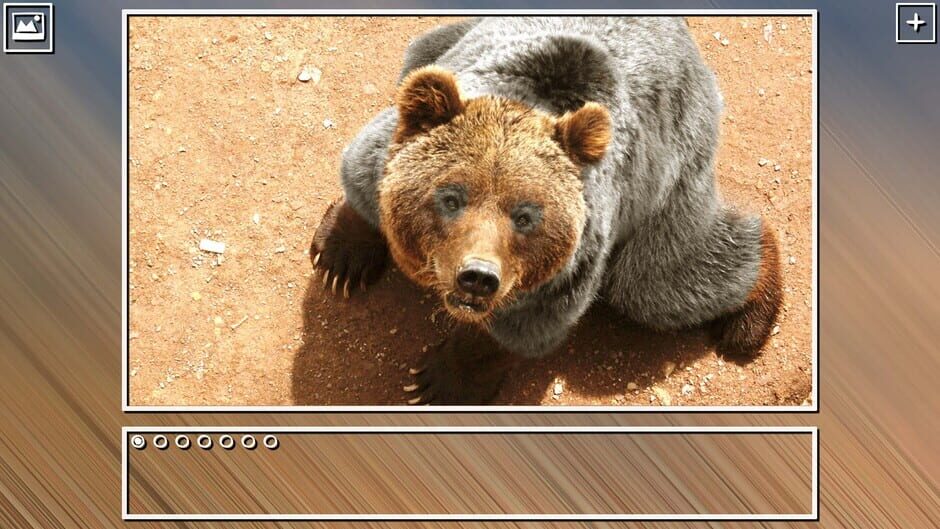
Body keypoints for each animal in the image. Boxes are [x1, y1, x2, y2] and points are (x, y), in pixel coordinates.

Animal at [310, 17, 782, 404]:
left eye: (525, 217)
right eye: (450, 198)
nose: (477, 277)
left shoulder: (574, 258)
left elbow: (523, 326)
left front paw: (442, 381)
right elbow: (364, 175)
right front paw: (341, 257)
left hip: (670, 168)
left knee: (658, 279)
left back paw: (750, 318)